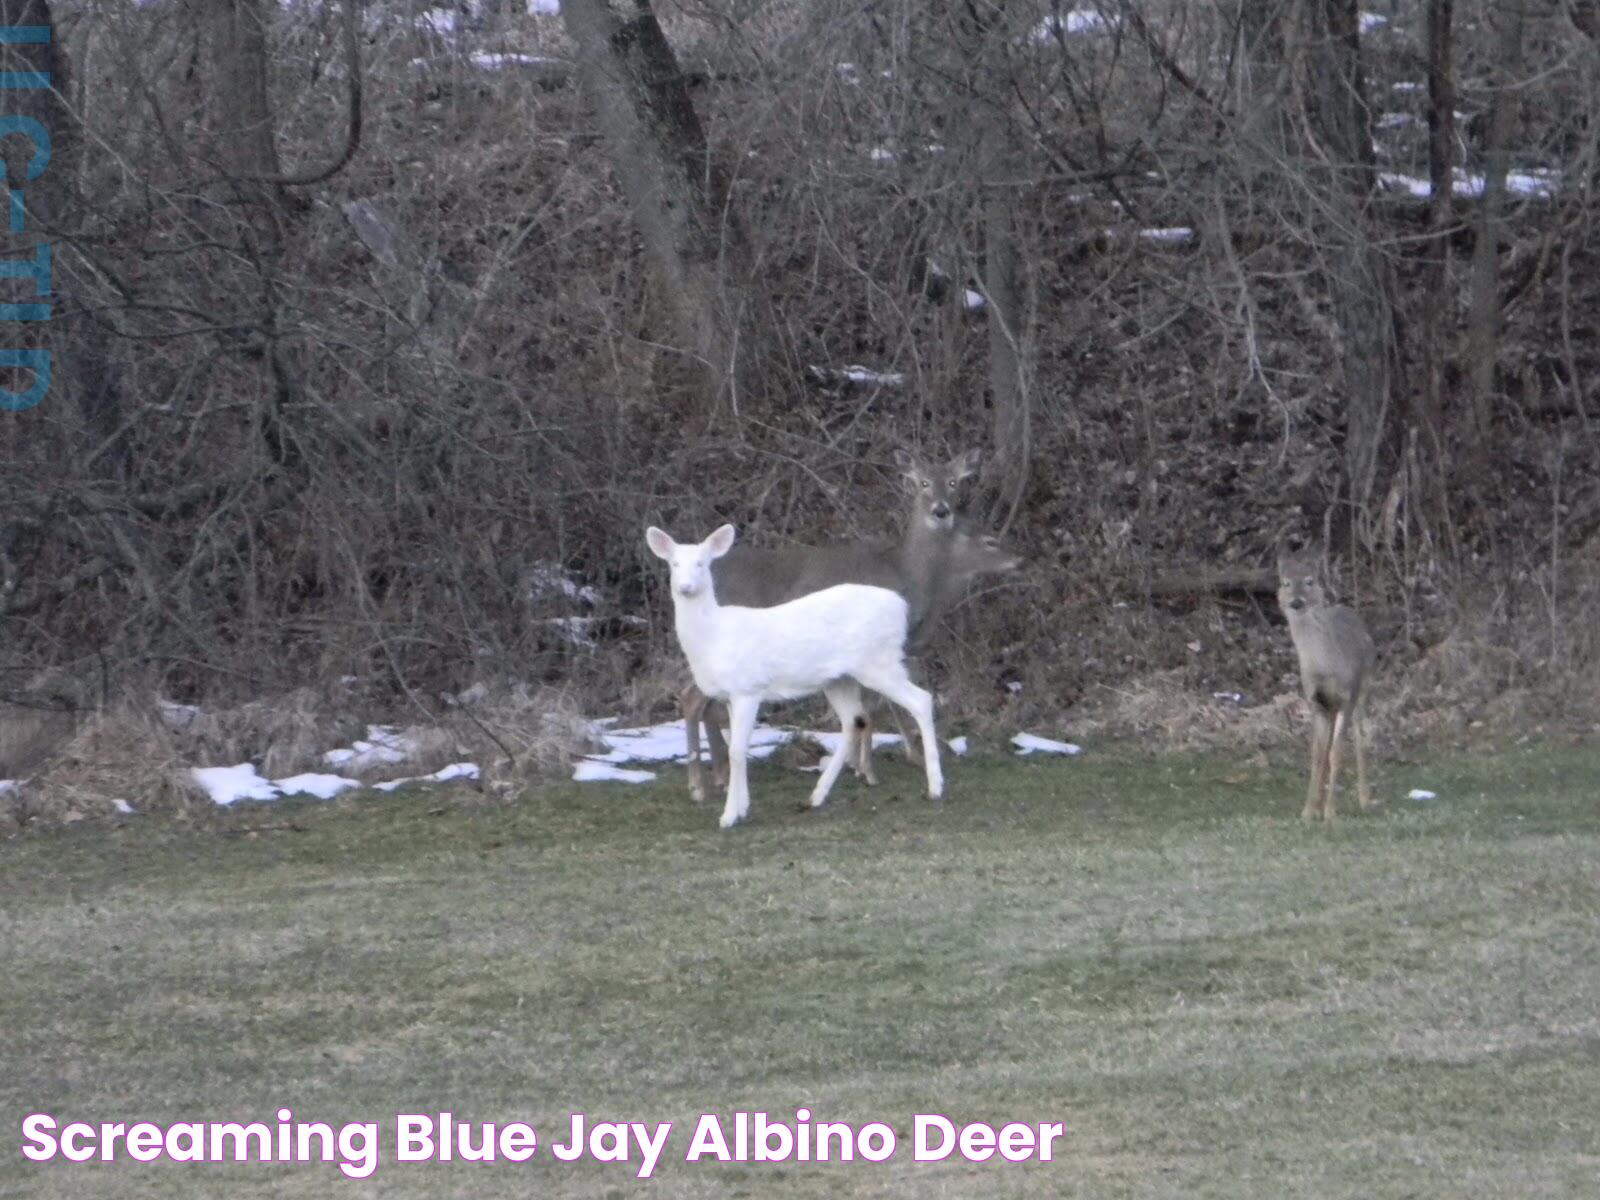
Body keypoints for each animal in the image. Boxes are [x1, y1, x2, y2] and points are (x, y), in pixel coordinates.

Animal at [643, 524, 940, 838]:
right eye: (674, 564)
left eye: (702, 563)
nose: (686, 587)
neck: (713, 637)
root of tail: (900, 605)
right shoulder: (730, 695)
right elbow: (739, 747)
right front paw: (743, 807)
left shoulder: (748, 688)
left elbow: (736, 751)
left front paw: (729, 816)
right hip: (839, 678)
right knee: (854, 719)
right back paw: (817, 795)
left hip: (878, 661)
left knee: (921, 700)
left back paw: (935, 787)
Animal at [675, 454, 1024, 809]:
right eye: (923, 482)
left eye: (952, 482)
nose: (941, 510)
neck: (913, 577)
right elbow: (874, 707)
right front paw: (870, 767)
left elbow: (867, 710)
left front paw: (862, 763)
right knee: (693, 698)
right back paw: (700, 785)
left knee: (706, 704)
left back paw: (718, 778)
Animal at [1273, 547, 1376, 825]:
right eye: (1285, 582)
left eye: (1310, 580)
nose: (1296, 602)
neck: (1325, 667)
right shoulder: (1316, 702)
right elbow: (1318, 755)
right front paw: (1309, 811)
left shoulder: (1346, 697)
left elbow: (1336, 754)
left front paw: (1331, 813)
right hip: (1331, 708)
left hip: (1363, 688)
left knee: (1362, 739)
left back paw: (1365, 799)